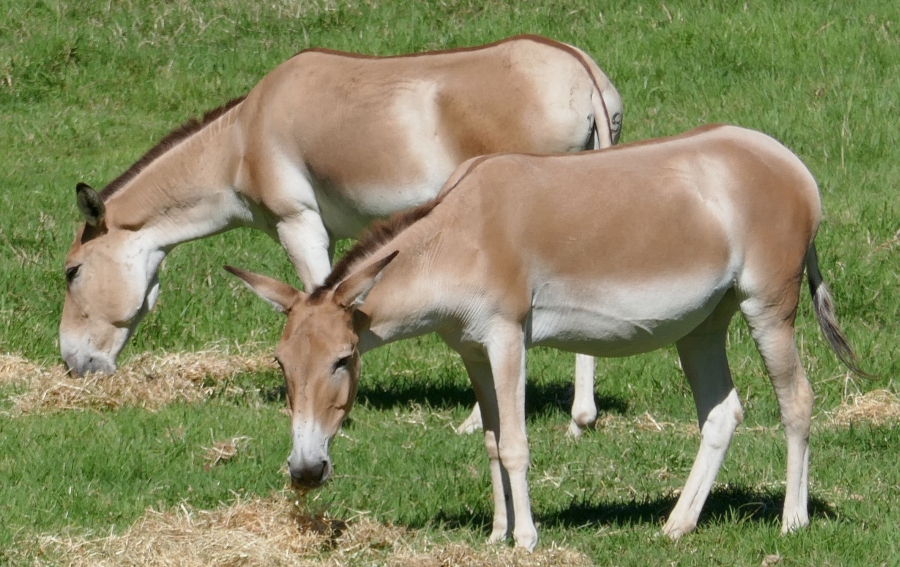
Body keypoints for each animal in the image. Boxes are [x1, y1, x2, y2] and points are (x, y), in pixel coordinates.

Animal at [60, 35, 622, 436]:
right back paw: (580, 417)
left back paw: (479, 420)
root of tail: (581, 71)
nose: (73, 365)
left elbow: (322, 296)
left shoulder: (297, 222)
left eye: (71, 272)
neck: (241, 139)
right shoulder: (325, 230)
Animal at [225, 124, 867, 550]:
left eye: (342, 360)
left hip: (768, 307)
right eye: (281, 364)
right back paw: (676, 525)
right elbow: (489, 440)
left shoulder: (508, 338)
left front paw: (526, 539)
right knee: (721, 413)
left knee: (797, 401)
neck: (459, 234)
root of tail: (789, 163)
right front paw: (495, 534)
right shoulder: (471, 349)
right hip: (702, 325)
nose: (305, 471)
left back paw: (792, 521)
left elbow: (515, 443)